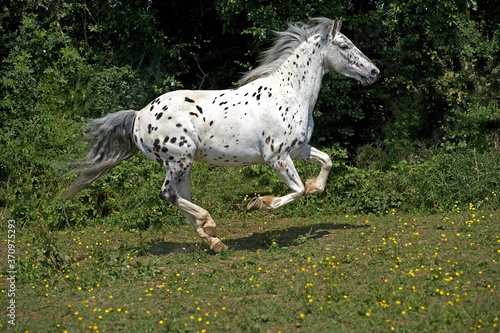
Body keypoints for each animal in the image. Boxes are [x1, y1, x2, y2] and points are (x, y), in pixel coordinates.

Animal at [65, 17, 378, 252]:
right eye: (344, 45)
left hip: (182, 165)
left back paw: (213, 240)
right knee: (168, 195)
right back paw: (210, 223)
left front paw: (315, 185)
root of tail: (139, 116)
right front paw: (259, 203)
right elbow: (297, 190)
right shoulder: (277, 157)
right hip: (179, 160)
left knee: (179, 197)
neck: (289, 94)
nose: (374, 72)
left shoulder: (299, 149)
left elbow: (326, 164)